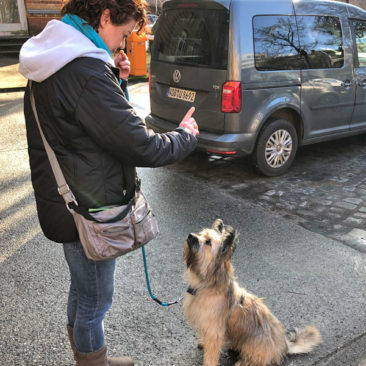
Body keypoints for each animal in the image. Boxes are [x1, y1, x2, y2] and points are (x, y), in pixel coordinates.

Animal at [183, 219, 320, 364]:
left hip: (256, 346)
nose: (190, 236)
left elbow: (211, 354)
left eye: (208, 242)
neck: (207, 283)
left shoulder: (214, 330)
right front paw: (202, 343)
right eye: (201, 234)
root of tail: (284, 346)